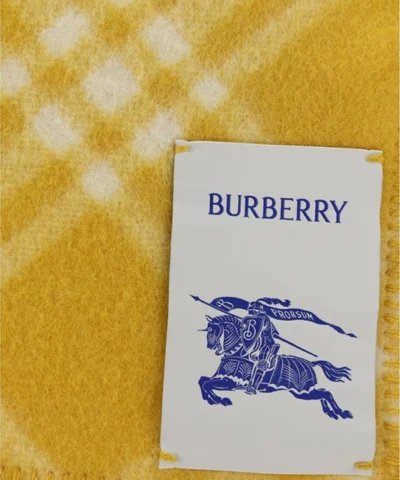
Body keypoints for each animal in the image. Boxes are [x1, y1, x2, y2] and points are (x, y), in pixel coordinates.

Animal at [198, 314, 353, 420]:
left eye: (212, 330)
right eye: (208, 330)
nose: (210, 346)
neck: (239, 352)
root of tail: (311, 363)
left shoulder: (231, 382)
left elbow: (206, 383)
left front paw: (220, 400)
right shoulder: (223, 378)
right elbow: (202, 380)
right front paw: (211, 399)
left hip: (302, 392)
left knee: (326, 394)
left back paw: (341, 412)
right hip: (305, 392)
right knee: (324, 393)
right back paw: (332, 413)